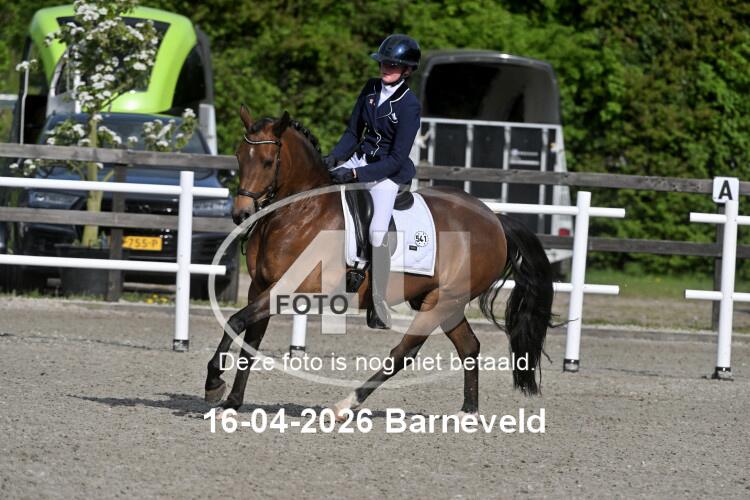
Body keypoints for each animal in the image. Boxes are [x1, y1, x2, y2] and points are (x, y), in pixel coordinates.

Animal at [204, 106, 554, 419]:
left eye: (267, 161)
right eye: (239, 157)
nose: (241, 214)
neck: (299, 212)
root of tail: (494, 220)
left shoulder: (289, 288)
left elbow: (236, 321)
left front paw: (213, 383)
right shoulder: (260, 287)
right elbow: (248, 338)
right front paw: (231, 403)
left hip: (443, 301)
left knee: (404, 353)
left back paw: (344, 406)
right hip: (439, 300)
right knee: (468, 346)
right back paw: (468, 413)